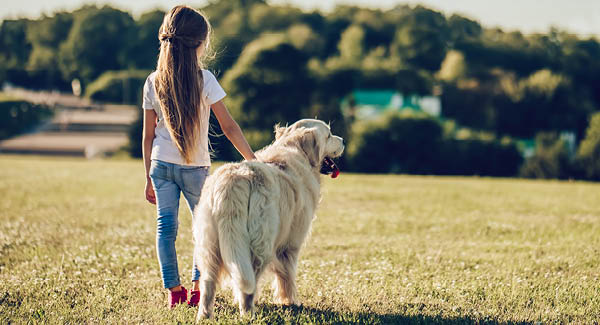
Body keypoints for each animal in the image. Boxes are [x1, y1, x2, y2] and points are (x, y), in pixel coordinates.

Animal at [192, 117, 342, 318]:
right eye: (329, 135)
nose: (343, 140)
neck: (297, 151)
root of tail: (232, 181)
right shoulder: (291, 245)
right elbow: (287, 275)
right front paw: (290, 302)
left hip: (209, 244)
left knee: (209, 282)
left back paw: (205, 316)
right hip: (260, 243)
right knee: (249, 283)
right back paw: (248, 314)